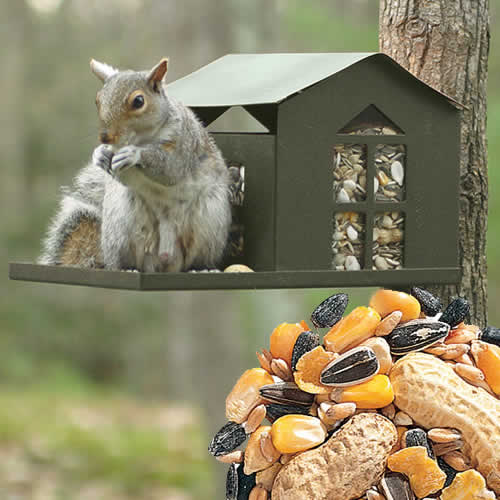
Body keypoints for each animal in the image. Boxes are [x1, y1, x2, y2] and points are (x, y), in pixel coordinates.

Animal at [38, 57, 231, 274]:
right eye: (97, 100)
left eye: (139, 101)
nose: (104, 136)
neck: (141, 138)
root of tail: (165, 260)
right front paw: (99, 154)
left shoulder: (184, 144)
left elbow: (171, 169)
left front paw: (134, 154)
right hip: (121, 226)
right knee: (124, 260)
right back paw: (127, 268)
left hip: (209, 222)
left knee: (198, 257)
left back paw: (201, 268)